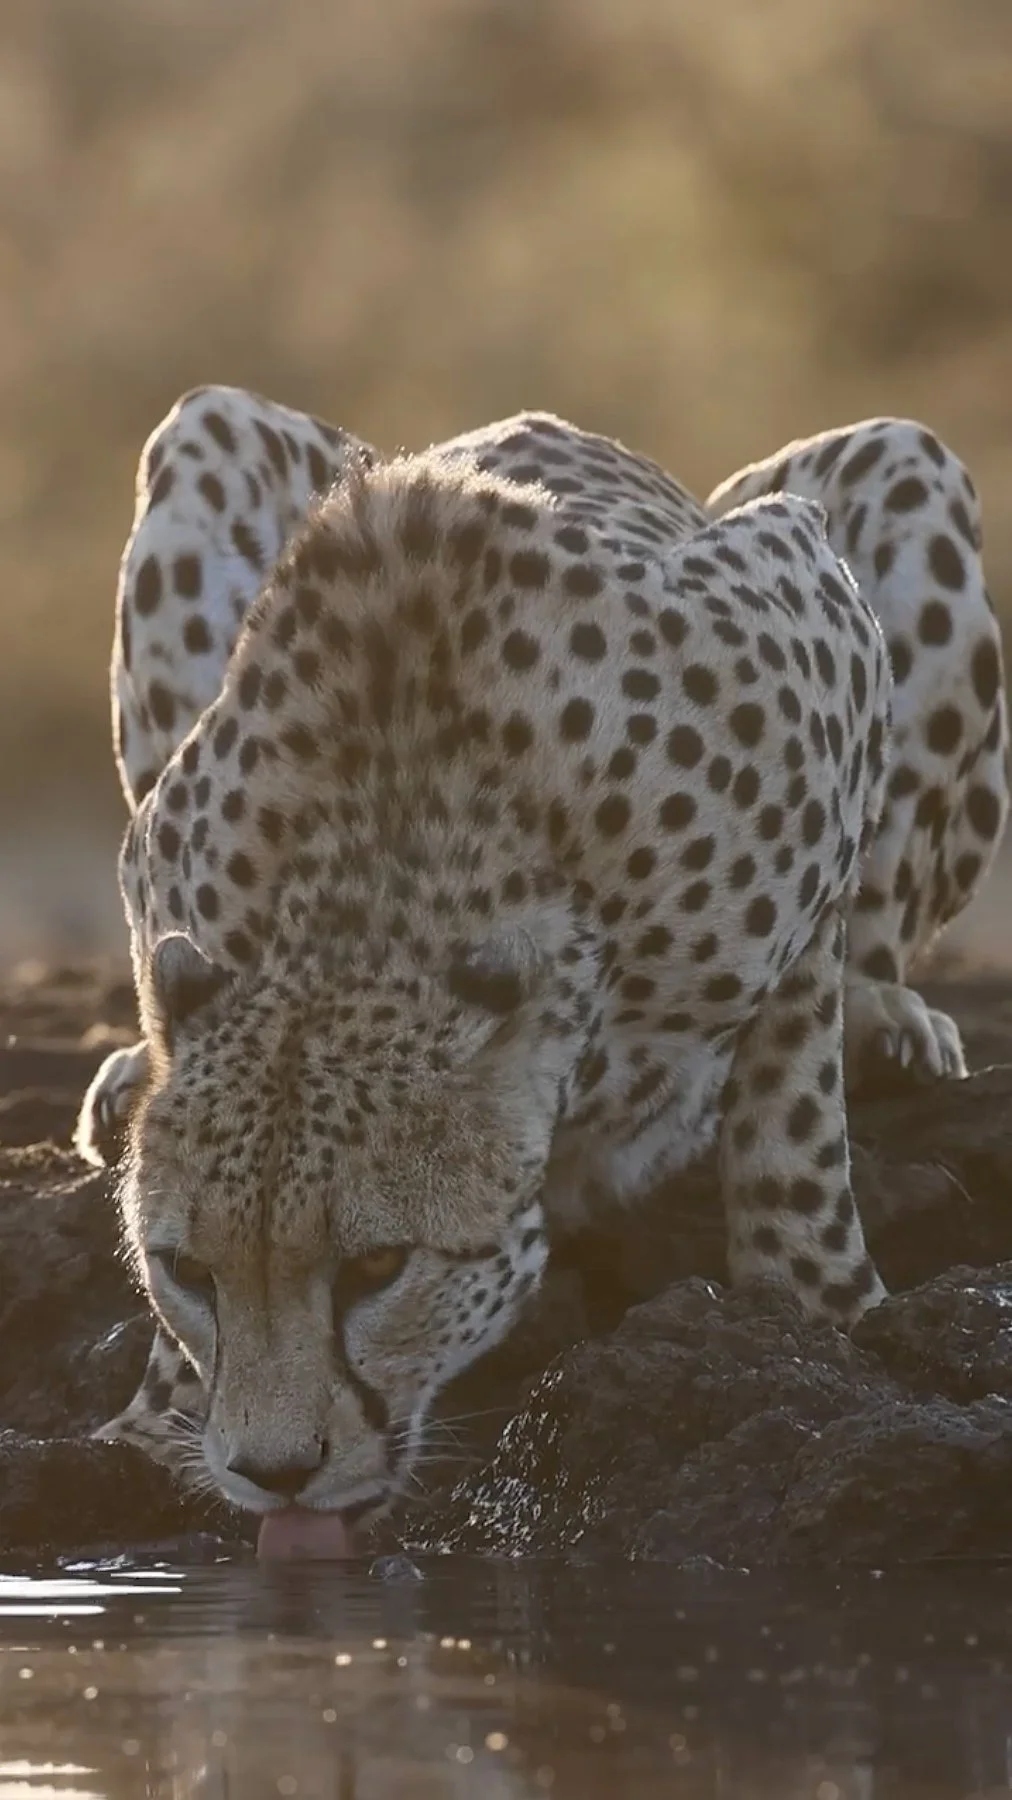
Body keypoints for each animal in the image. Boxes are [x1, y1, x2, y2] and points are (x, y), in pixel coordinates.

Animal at [75, 387, 1008, 1534]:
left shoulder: (811, 605)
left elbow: (791, 1128)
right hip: (207, 427)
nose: (275, 1469)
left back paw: (883, 1021)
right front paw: (153, 1426)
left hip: (903, 460)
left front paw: (824, 1316)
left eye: (377, 1266)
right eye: (186, 1271)